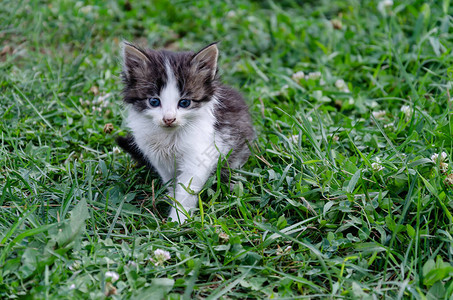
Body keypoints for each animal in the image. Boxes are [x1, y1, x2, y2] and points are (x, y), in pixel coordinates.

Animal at [116, 41, 254, 224]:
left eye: (184, 103)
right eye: (154, 101)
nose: (169, 119)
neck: (169, 136)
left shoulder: (200, 155)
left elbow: (186, 191)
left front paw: (178, 220)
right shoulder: (158, 157)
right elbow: (171, 182)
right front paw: (170, 198)